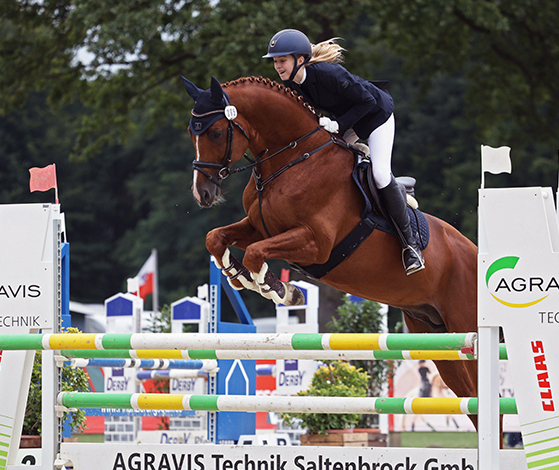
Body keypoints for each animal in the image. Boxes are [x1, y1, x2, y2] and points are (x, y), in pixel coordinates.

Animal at [182, 75, 480, 428]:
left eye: (215, 132)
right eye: (192, 133)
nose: (202, 193)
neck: (292, 160)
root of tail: (476, 253)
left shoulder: (316, 244)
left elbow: (256, 253)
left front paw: (281, 290)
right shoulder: (259, 227)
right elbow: (216, 238)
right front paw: (237, 275)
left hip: (467, 327)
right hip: (434, 333)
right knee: (471, 400)